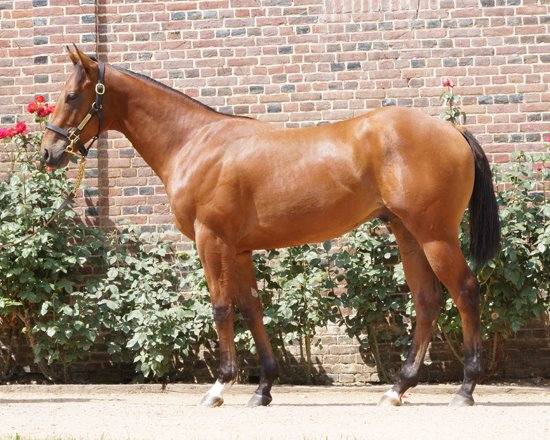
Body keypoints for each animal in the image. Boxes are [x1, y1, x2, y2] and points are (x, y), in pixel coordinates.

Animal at [41, 46, 500, 408]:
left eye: (71, 95)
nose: (49, 152)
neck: (194, 142)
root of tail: (452, 129)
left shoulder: (212, 241)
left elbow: (221, 307)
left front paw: (219, 387)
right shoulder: (240, 249)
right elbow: (252, 308)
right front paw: (262, 388)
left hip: (435, 235)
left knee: (465, 292)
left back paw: (465, 389)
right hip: (408, 234)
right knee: (427, 301)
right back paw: (397, 388)